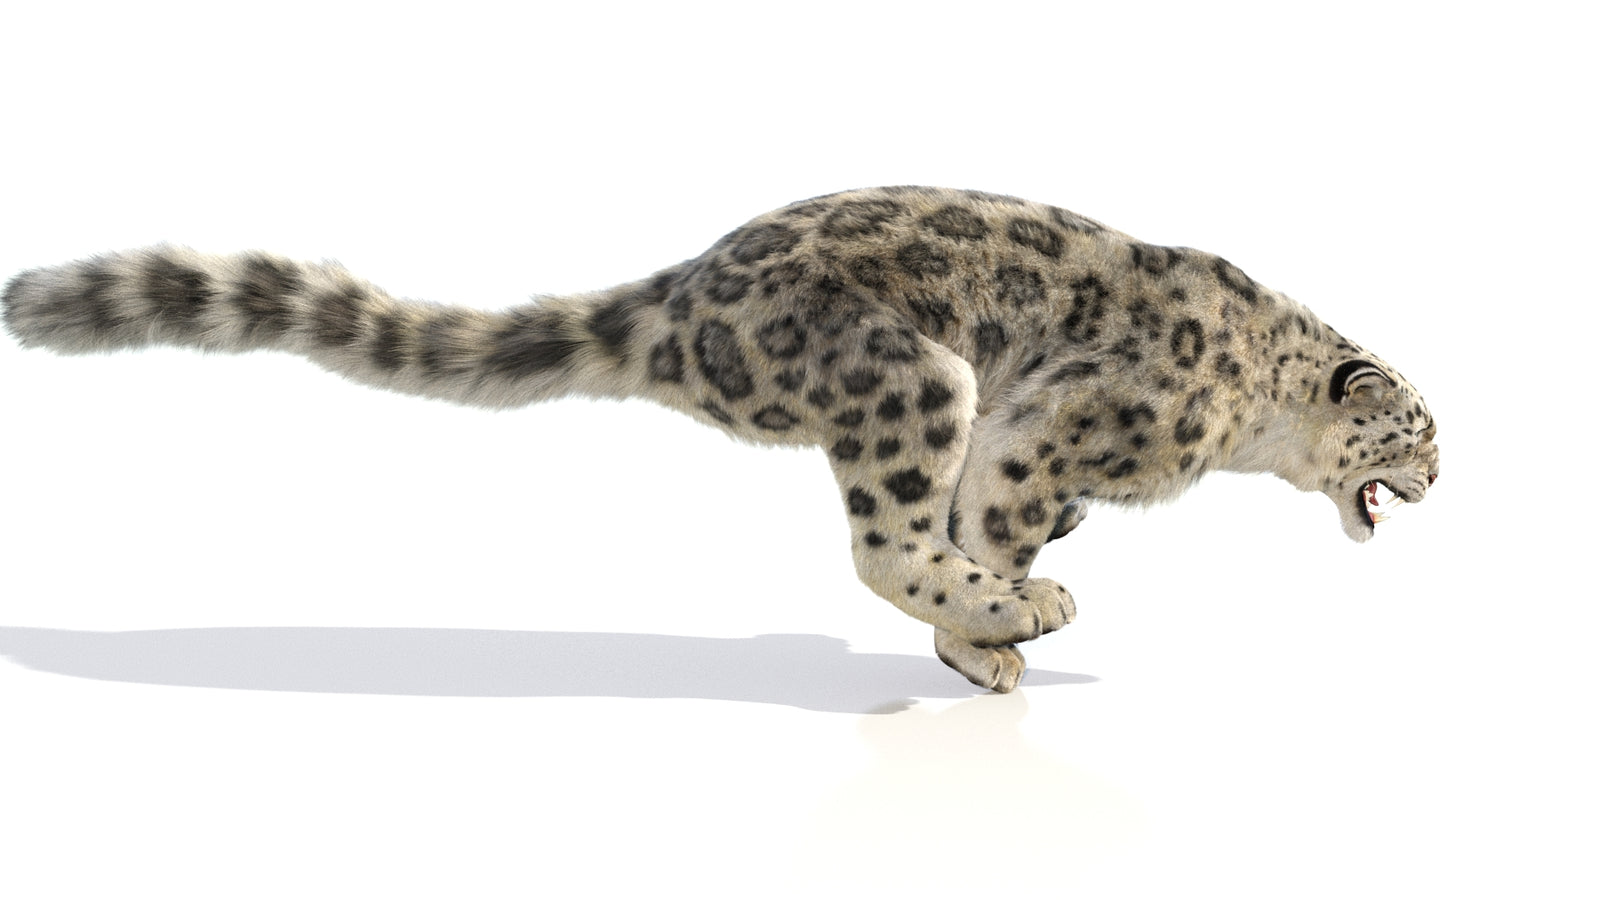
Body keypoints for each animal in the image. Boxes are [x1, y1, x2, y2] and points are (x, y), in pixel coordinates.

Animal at [1, 186, 1440, 692]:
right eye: (1420, 427)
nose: (1441, 476)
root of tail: (677, 293)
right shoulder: (1051, 427)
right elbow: (992, 517)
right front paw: (996, 626)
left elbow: (995, 517)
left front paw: (983, 634)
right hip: (907, 375)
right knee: (880, 539)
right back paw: (1026, 607)